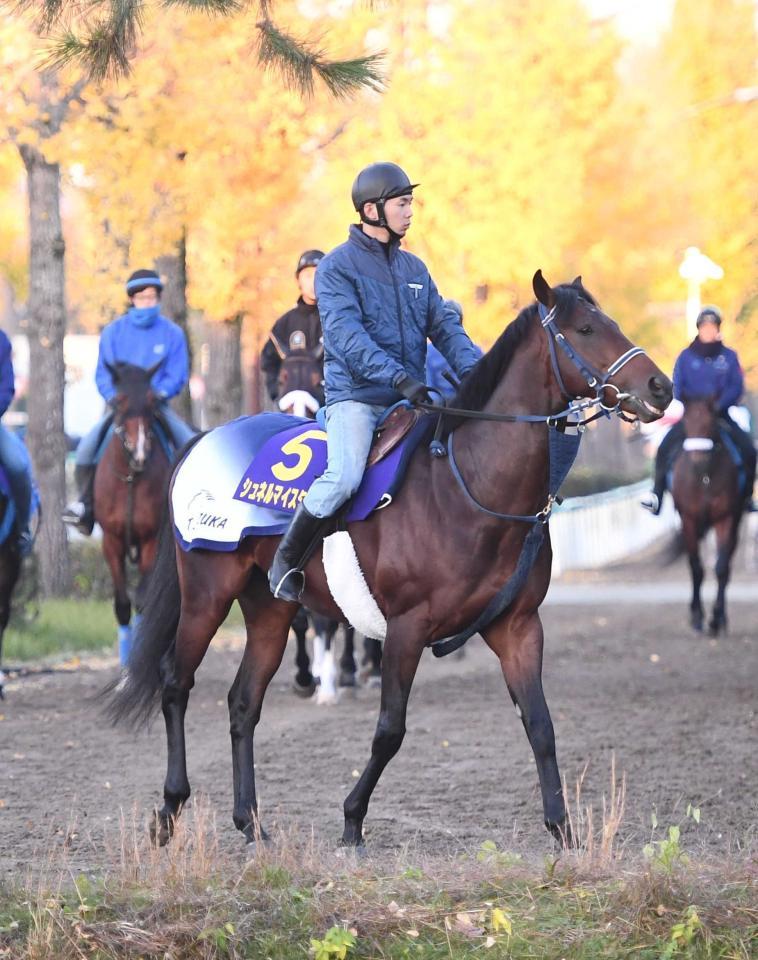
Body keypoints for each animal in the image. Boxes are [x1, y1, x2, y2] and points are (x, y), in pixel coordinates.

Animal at [95, 360, 173, 660]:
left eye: (152, 401)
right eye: (118, 401)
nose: (140, 452)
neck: (131, 478)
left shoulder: (151, 540)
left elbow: (143, 601)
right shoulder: (111, 541)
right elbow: (122, 604)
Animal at [107, 272, 672, 848]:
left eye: (612, 321)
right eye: (585, 329)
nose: (660, 387)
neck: (464, 487)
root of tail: (204, 437)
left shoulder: (517, 626)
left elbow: (540, 724)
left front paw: (563, 829)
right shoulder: (407, 627)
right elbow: (390, 730)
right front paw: (352, 818)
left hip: (269, 607)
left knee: (243, 702)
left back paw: (251, 822)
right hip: (207, 591)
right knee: (175, 682)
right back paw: (169, 808)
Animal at [672, 398, 744, 636]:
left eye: (711, 421)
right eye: (686, 421)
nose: (699, 458)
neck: (705, 477)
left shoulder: (726, 518)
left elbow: (721, 568)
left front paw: (715, 618)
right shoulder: (689, 519)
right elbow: (696, 568)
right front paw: (697, 617)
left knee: (727, 564)